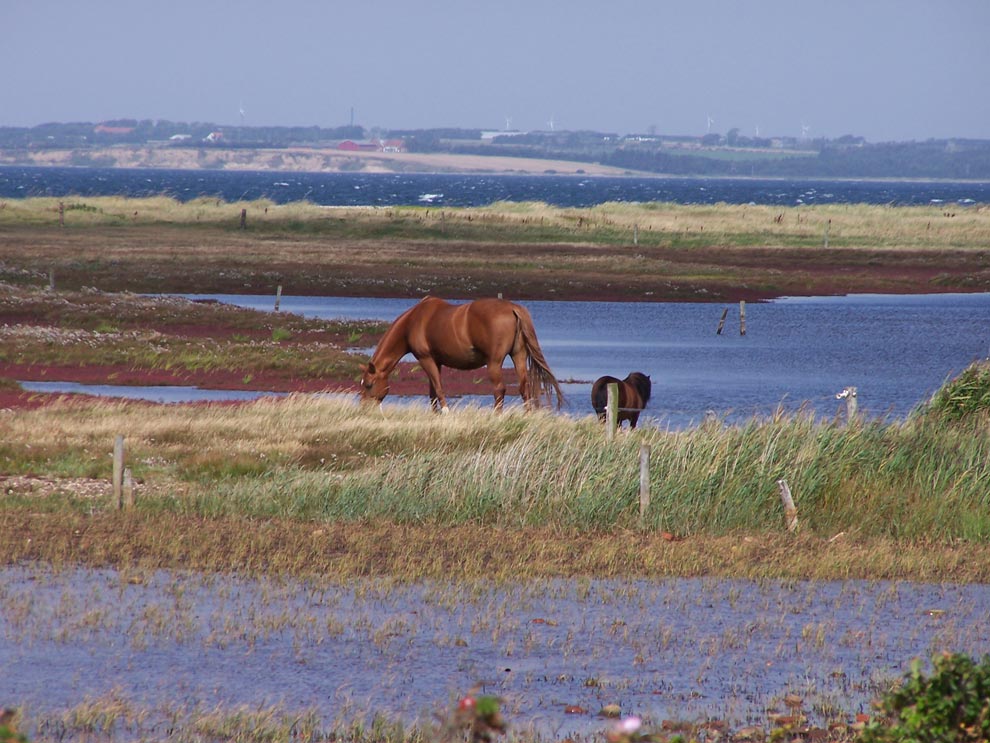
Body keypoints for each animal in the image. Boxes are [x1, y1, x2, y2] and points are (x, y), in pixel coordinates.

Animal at [362, 296, 564, 412]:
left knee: (499, 390)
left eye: (369, 385)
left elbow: (439, 389)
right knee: (524, 388)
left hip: (494, 362)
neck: (414, 320)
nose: (363, 409)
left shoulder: (426, 359)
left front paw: (445, 413)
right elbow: (432, 392)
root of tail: (512, 309)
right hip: (518, 355)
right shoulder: (436, 361)